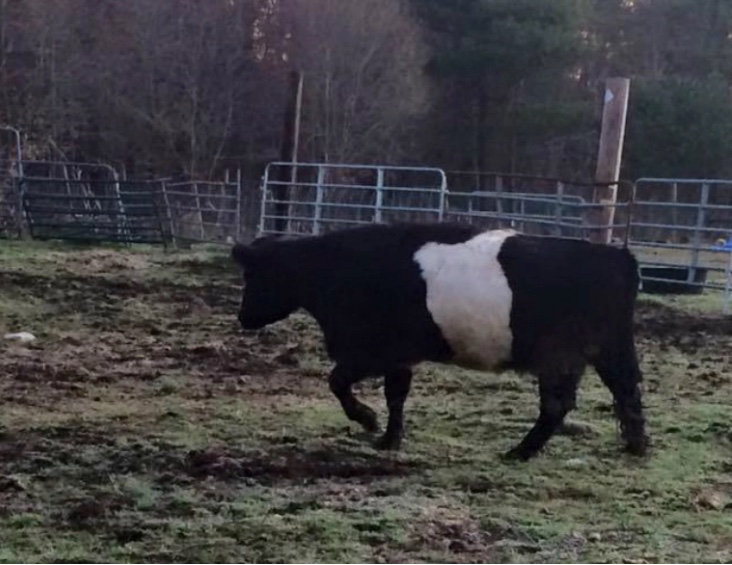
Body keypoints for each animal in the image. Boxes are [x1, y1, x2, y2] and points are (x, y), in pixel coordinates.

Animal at [230, 222, 648, 461]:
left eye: (254, 273)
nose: (243, 316)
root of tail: (616, 256)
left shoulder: (371, 351)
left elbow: (337, 382)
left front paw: (367, 420)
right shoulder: (399, 357)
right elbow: (395, 395)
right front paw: (390, 438)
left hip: (559, 357)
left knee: (558, 405)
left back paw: (519, 452)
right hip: (607, 352)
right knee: (626, 393)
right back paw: (636, 445)